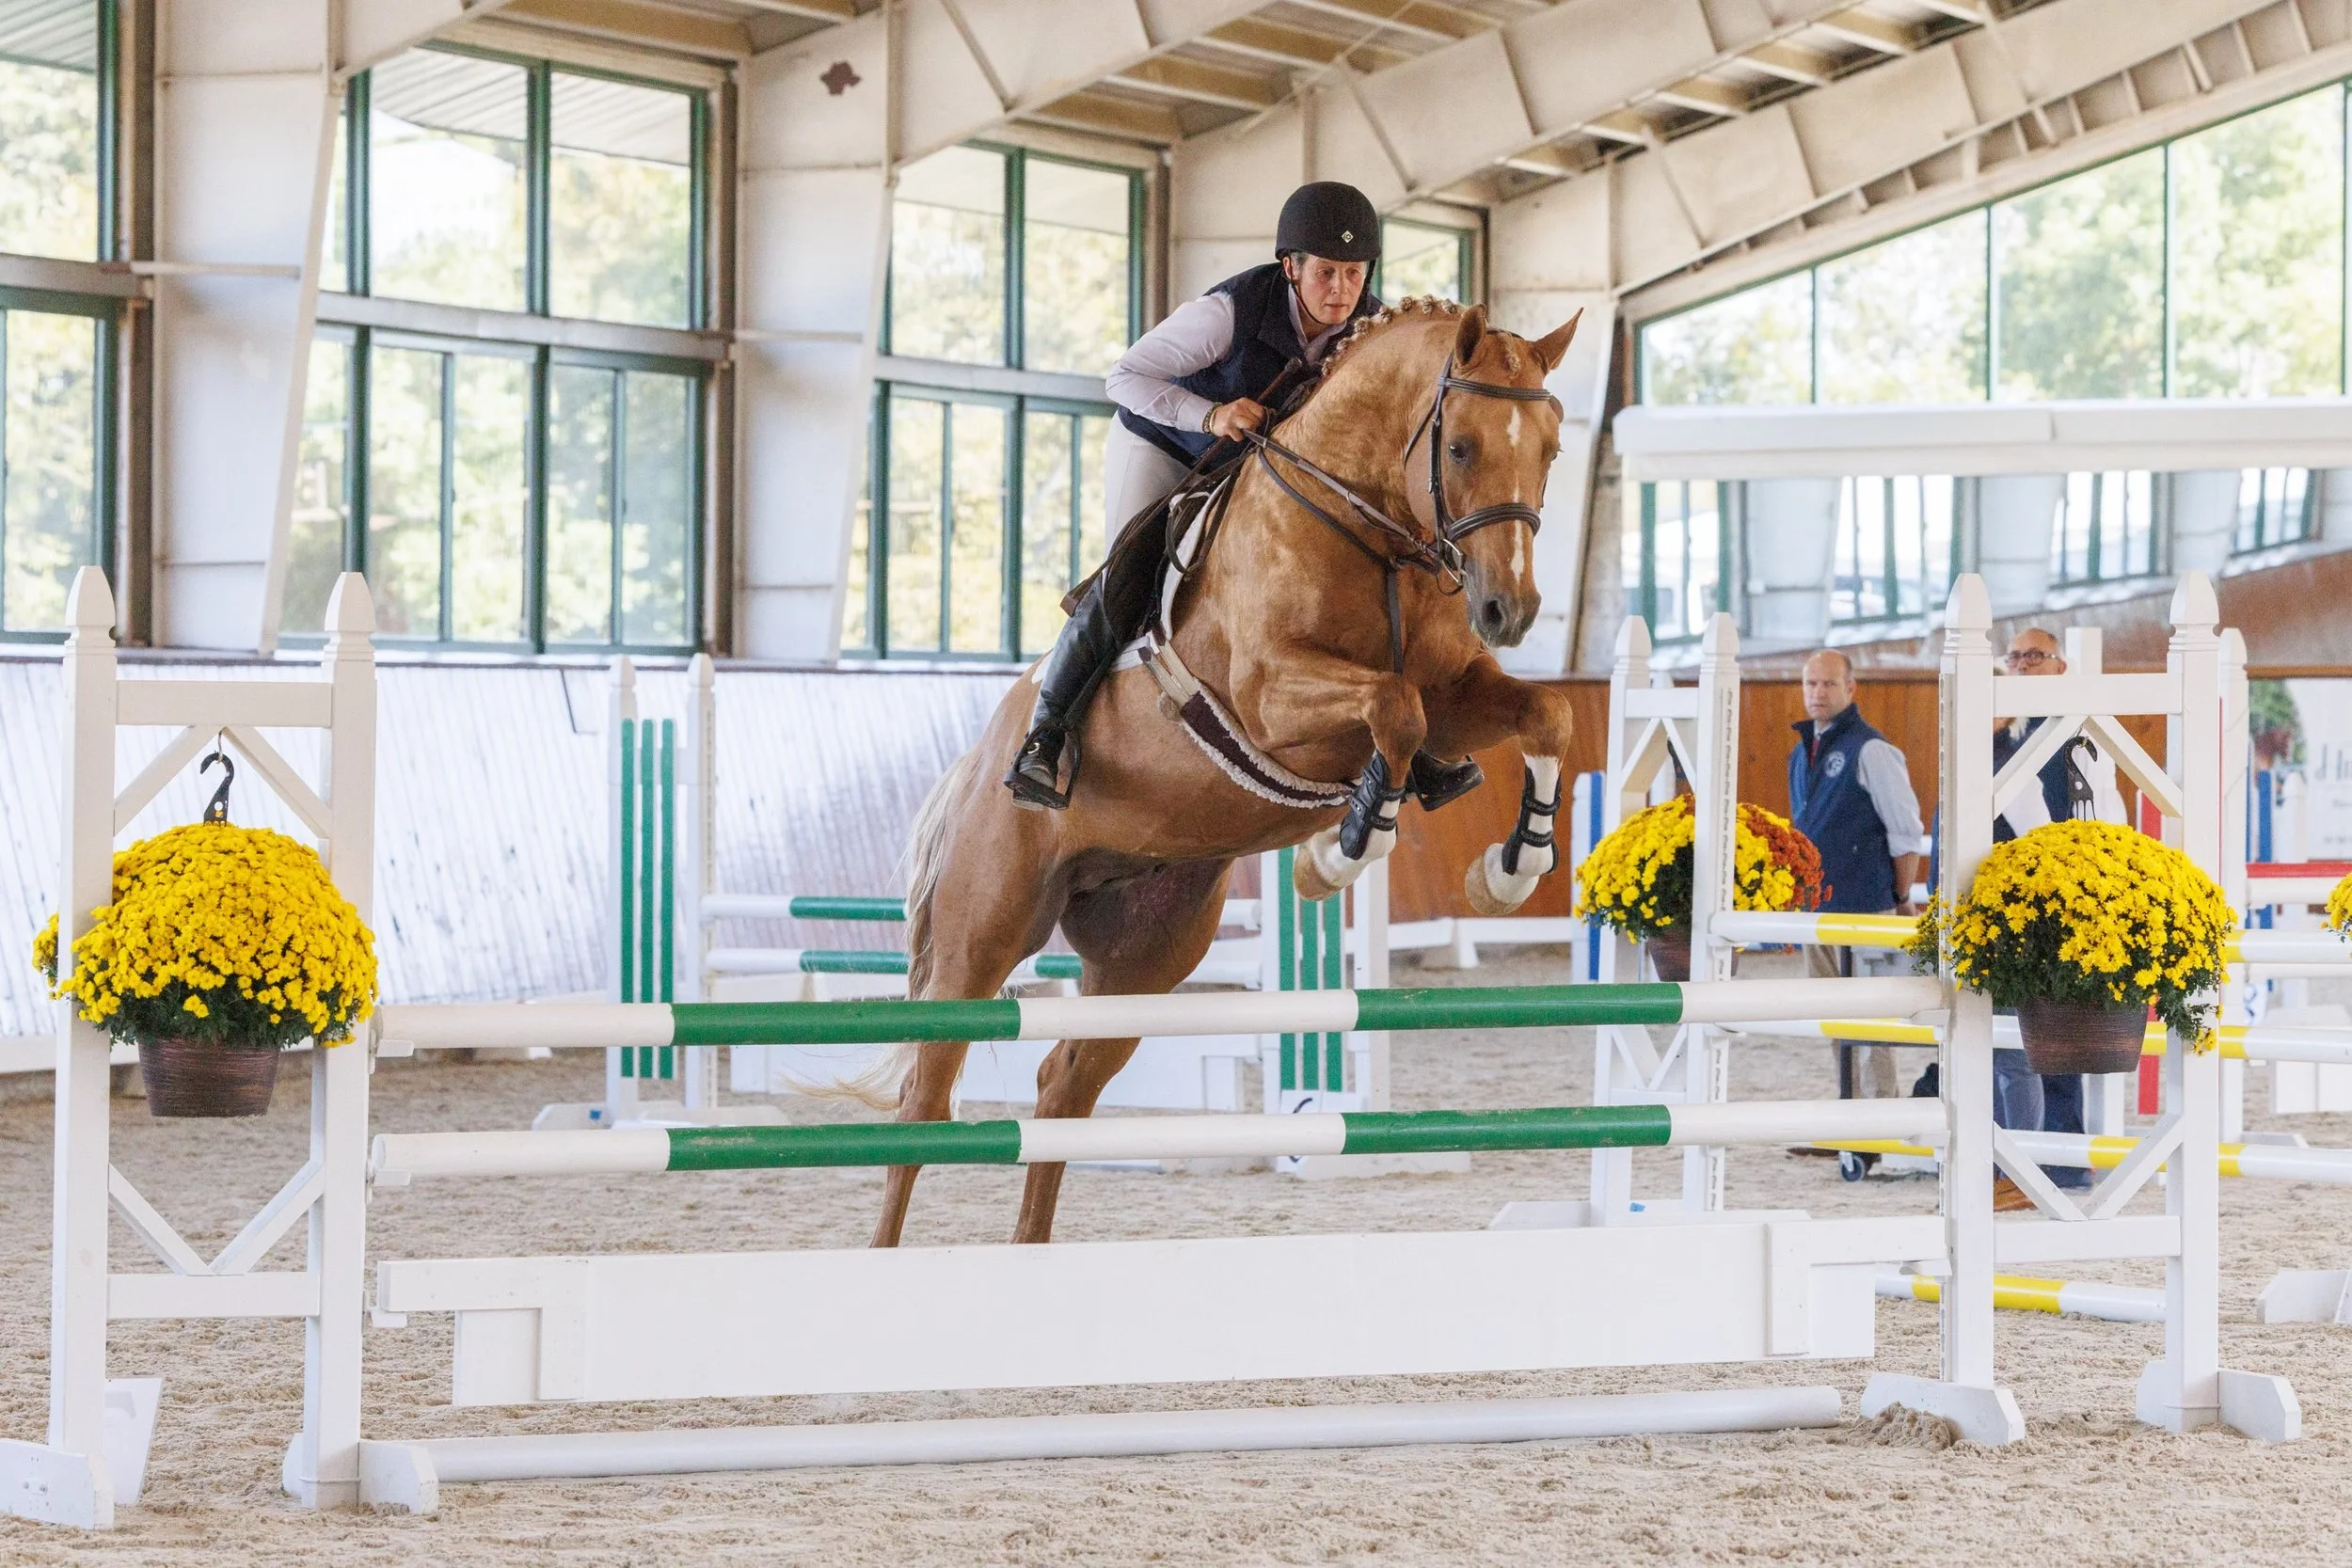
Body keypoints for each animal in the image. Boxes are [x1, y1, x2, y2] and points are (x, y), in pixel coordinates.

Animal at [874, 298, 1583, 1245]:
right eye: (1462, 446)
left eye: (1550, 448)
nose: (1509, 609)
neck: (1367, 527)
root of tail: (974, 764)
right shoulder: (1272, 700)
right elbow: (1394, 707)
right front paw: (1340, 854)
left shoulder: (1459, 692)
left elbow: (1540, 714)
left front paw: (1511, 868)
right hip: (980, 933)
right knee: (922, 1100)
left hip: (1146, 954)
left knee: (1065, 1084)